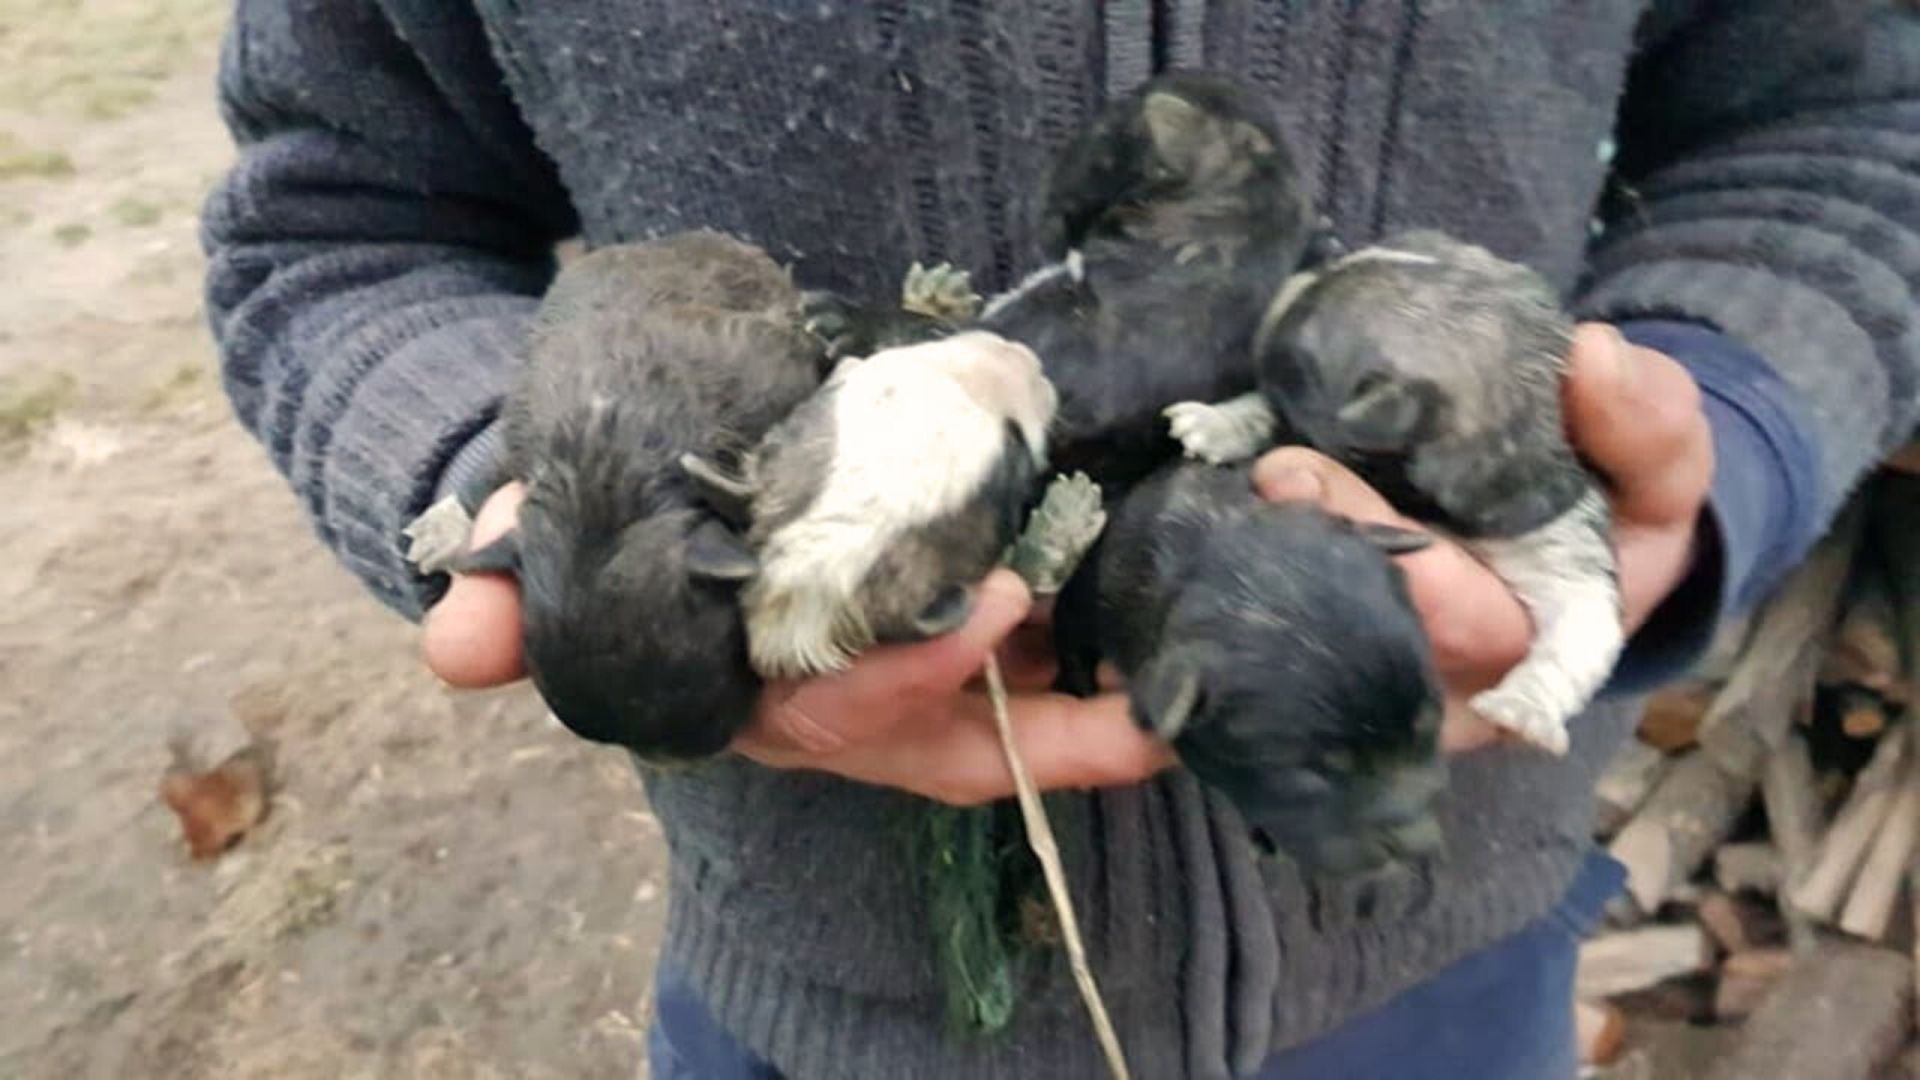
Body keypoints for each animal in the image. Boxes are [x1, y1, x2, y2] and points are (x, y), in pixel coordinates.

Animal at [1159, 228, 1628, 749]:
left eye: (1304, 349)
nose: (1310, 257)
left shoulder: (1559, 537)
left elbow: (1581, 620)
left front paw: (1525, 705)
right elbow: (1269, 415)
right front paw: (1216, 422)